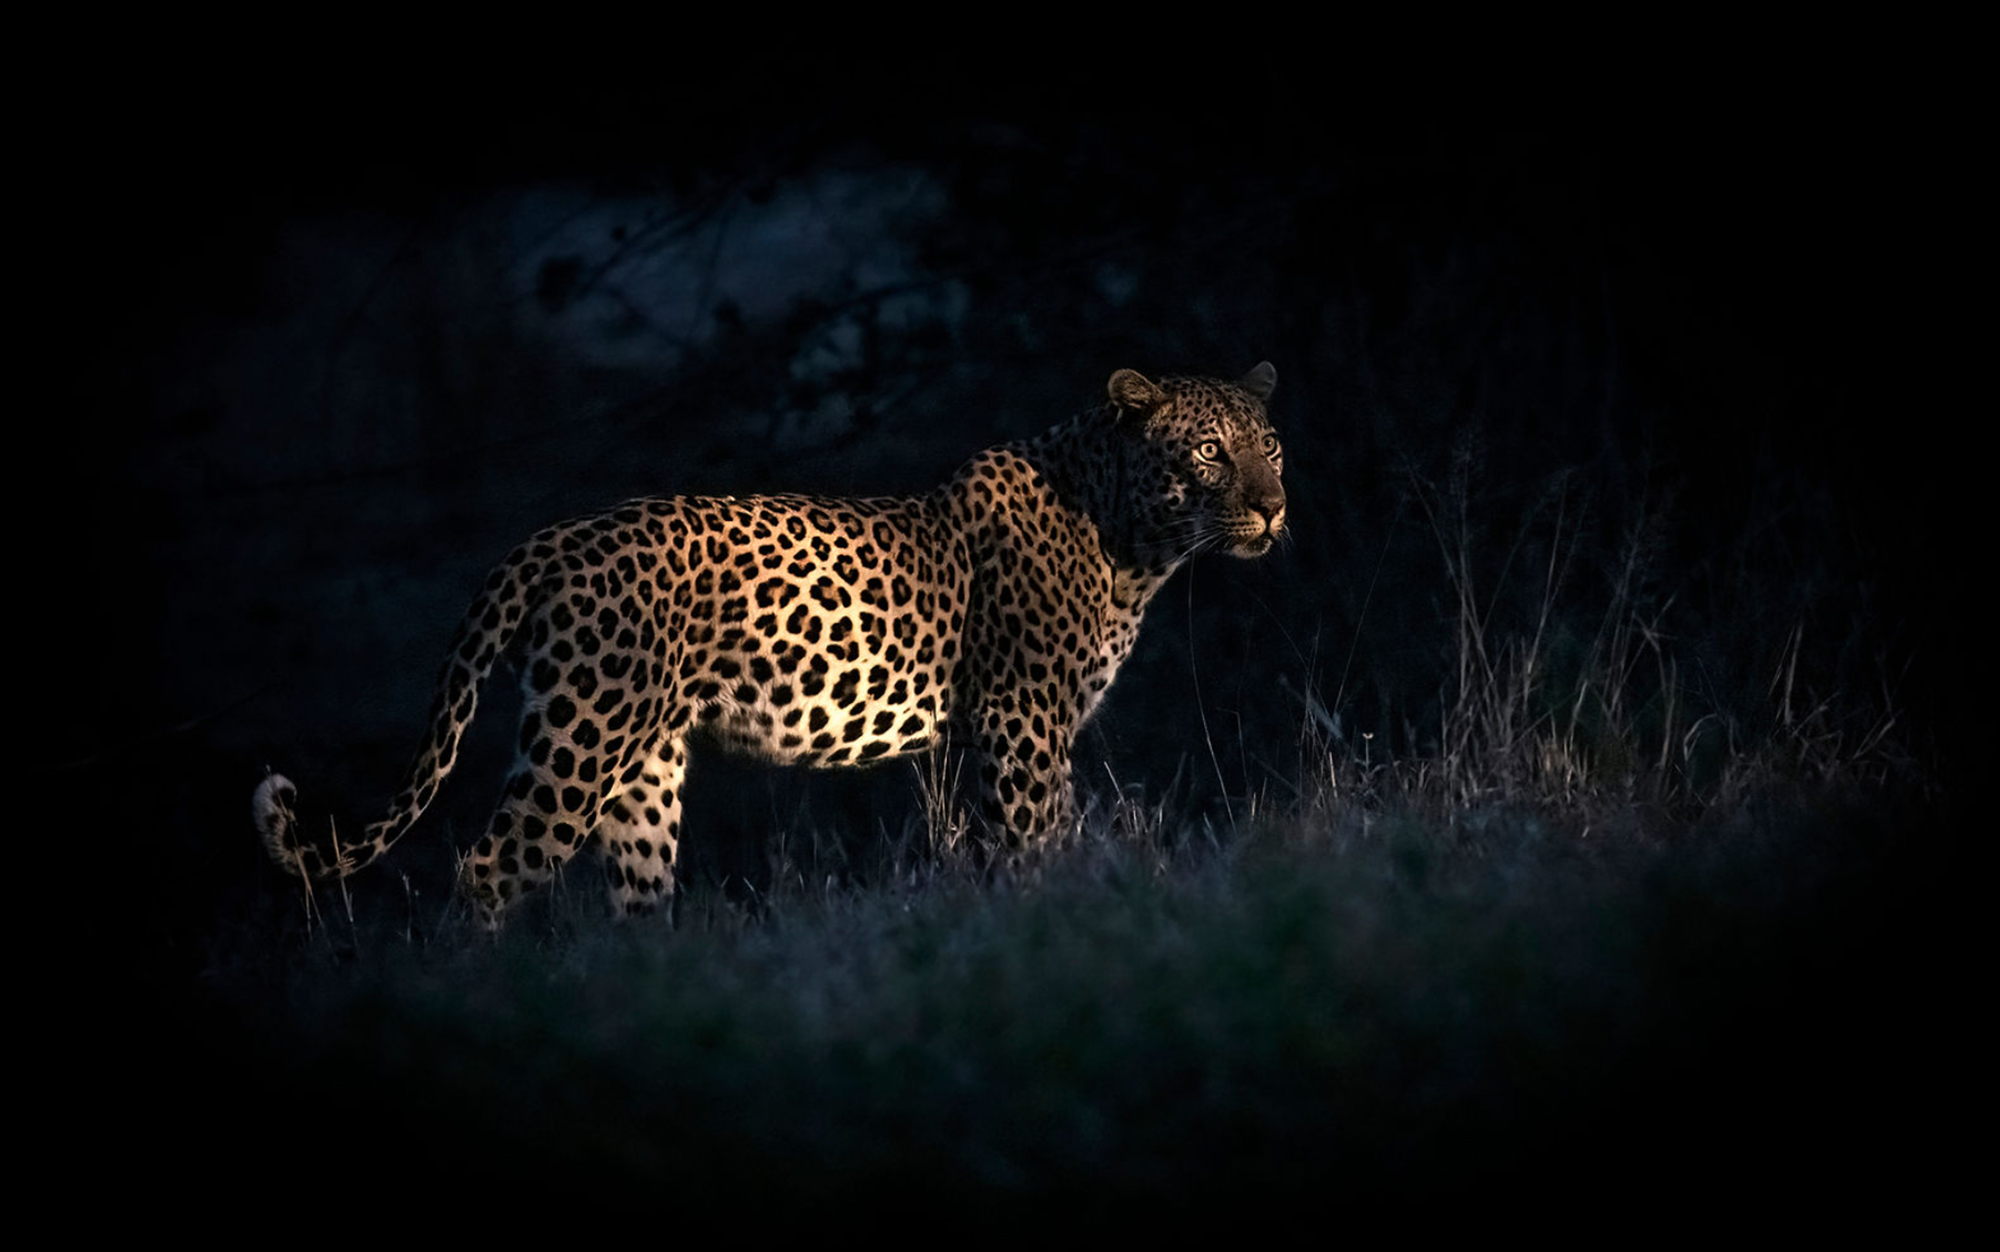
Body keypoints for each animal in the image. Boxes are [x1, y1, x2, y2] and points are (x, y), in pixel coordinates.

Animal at [254, 356, 1280, 920]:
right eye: (1208, 452)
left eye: (1270, 445)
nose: (1273, 506)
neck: (1132, 540)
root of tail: (547, 538)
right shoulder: (1023, 722)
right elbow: (1040, 840)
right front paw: (1055, 915)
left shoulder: (999, 735)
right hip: (580, 742)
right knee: (489, 870)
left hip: (642, 767)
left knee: (635, 892)